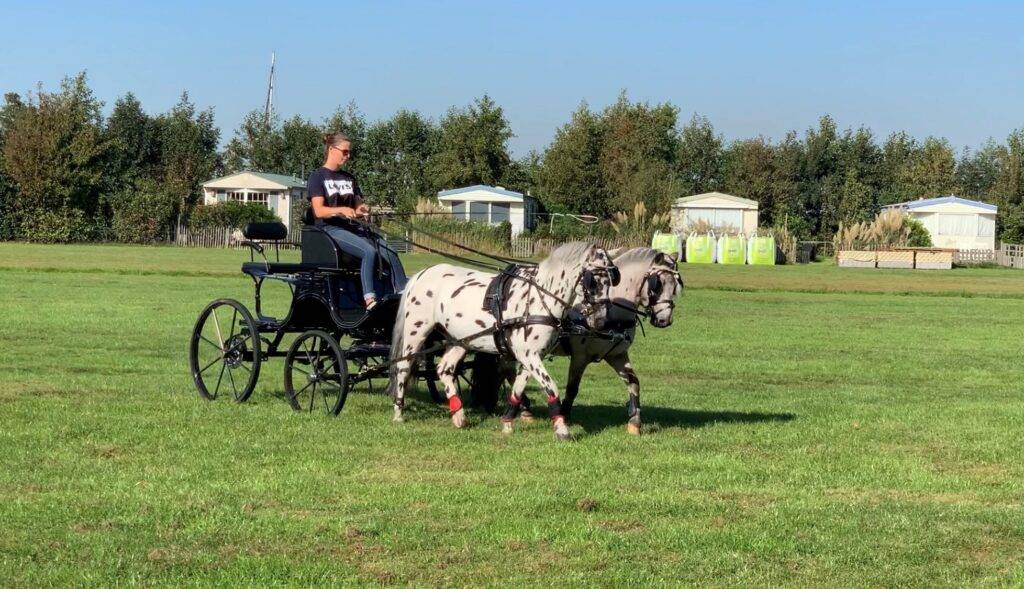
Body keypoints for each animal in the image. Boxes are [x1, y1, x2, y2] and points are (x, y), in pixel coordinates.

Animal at [389, 241, 614, 440]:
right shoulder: (529, 355)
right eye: (593, 280)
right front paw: (561, 429)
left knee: (444, 369)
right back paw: (398, 411)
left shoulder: (531, 357)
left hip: (459, 340)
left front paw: (507, 423)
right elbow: (551, 386)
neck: (538, 298)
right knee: (403, 367)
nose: (602, 321)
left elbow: (518, 389)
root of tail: (421, 274)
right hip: (416, 332)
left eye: (612, 280)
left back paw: (459, 415)